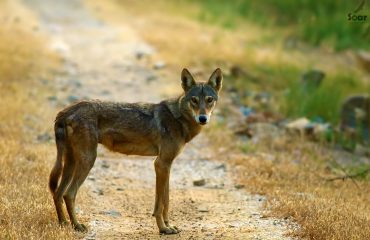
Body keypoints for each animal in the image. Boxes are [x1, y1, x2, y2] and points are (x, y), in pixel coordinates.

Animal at [48, 68, 223, 234]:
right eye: (194, 100)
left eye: (209, 100)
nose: (203, 118)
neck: (178, 118)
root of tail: (64, 112)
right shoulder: (160, 163)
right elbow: (159, 204)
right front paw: (163, 228)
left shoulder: (167, 165)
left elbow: (166, 201)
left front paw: (169, 226)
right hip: (88, 160)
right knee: (68, 194)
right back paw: (77, 226)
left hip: (71, 162)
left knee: (58, 193)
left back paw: (63, 224)